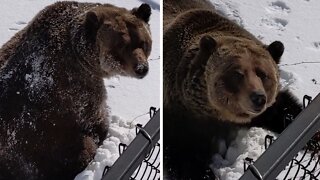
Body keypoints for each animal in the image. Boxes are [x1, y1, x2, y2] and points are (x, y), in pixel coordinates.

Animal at [164, 0, 302, 179]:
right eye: (237, 74)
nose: (258, 98)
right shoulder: (182, 115)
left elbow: (287, 110)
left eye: (262, 74)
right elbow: (185, 155)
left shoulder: (266, 110)